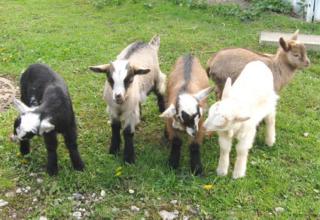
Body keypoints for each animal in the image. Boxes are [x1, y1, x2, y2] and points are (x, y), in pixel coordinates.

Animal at [89, 35, 166, 163]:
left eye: (129, 79)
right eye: (110, 80)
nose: (118, 96)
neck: (121, 104)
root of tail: (149, 44)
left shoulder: (130, 112)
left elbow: (128, 132)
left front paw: (129, 158)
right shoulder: (112, 109)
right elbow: (115, 127)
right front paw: (113, 150)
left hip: (157, 79)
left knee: (161, 94)